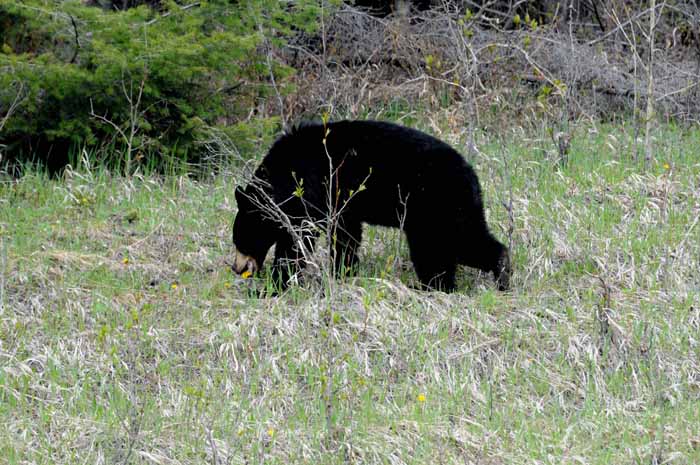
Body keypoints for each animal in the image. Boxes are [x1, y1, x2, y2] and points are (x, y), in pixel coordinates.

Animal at [232, 119, 512, 290]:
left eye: (239, 239)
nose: (236, 268)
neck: (281, 175)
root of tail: (471, 174)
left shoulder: (311, 190)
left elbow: (298, 240)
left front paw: (275, 283)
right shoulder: (342, 207)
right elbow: (346, 237)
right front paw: (343, 272)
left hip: (436, 208)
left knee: (446, 246)